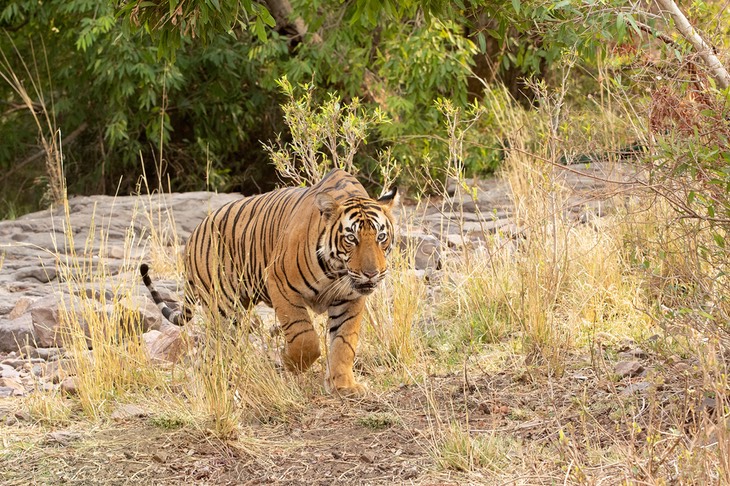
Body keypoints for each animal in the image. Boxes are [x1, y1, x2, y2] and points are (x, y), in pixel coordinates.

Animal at [139, 169, 396, 396]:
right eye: (351, 238)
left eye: (381, 237)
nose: (372, 273)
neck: (337, 272)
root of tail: (193, 236)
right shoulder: (281, 284)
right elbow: (304, 338)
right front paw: (289, 363)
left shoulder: (350, 299)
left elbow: (344, 343)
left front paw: (343, 386)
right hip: (223, 310)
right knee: (213, 351)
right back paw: (217, 386)